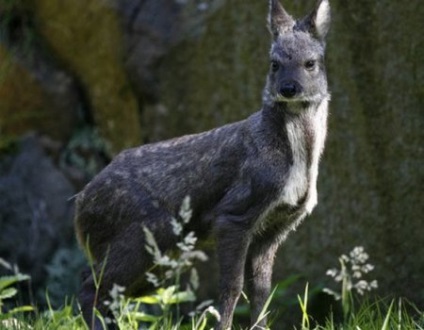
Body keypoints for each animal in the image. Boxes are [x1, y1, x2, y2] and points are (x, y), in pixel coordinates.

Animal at [75, 1, 332, 328]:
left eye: (310, 63)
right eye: (274, 63)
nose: (289, 88)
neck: (298, 165)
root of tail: (80, 204)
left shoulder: (275, 227)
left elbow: (261, 292)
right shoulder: (234, 213)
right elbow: (232, 288)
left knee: (105, 289)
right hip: (142, 236)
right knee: (91, 287)